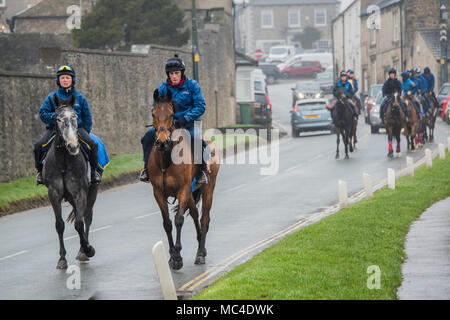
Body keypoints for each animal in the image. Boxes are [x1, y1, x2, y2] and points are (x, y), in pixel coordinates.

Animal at [42, 93, 97, 270]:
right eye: (58, 118)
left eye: (75, 117)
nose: (73, 146)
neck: (64, 161)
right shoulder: (54, 193)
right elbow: (59, 225)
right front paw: (62, 259)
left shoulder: (80, 193)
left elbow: (79, 223)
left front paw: (88, 249)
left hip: (91, 193)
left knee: (87, 217)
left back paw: (83, 251)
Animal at [149, 89, 221, 268]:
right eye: (153, 113)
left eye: (171, 114)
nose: (161, 142)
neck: (166, 158)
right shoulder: (158, 192)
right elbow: (167, 223)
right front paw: (171, 255)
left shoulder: (182, 189)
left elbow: (179, 219)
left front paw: (177, 256)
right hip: (190, 194)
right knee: (195, 214)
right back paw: (199, 243)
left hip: (208, 188)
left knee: (204, 218)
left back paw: (201, 253)